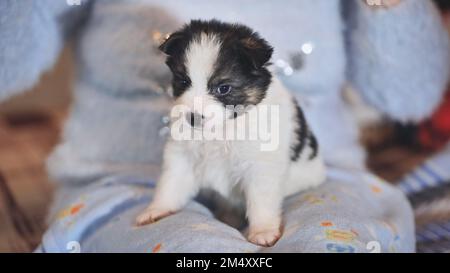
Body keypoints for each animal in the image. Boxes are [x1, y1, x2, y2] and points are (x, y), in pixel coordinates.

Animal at [135, 19, 326, 246]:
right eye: (183, 81)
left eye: (223, 88)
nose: (192, 118)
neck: (222, 128)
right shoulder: (183, 155)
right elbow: (171, 183)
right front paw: (156, 210)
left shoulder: (260, 166)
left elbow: (261, 200)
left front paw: (263, 231)